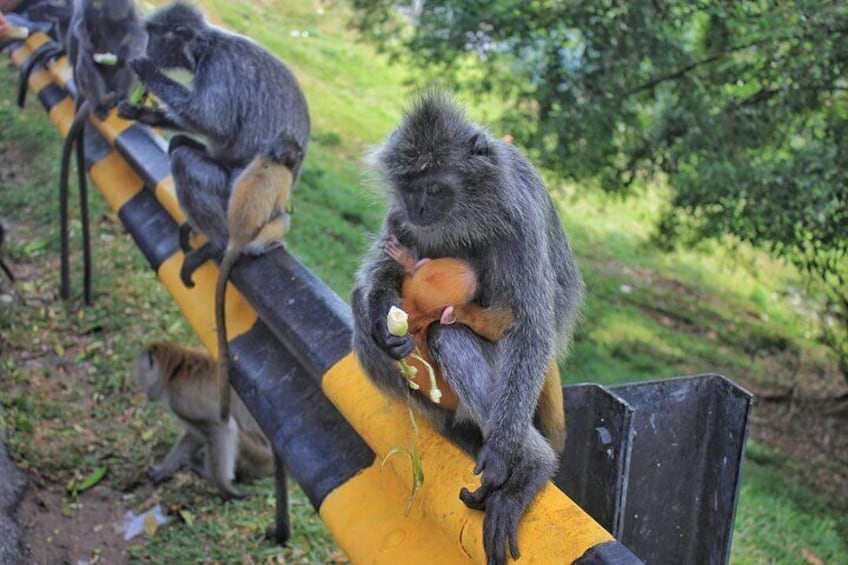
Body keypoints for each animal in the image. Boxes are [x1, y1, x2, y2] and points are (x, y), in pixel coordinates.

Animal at [58, 0, 146, 304]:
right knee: (86, 61)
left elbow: (135, 30)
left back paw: (116, 97)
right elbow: (81, 30)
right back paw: (100, 104)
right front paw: (87, 41)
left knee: (126, 64)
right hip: (86, 84)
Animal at [114, 1, 310, 286]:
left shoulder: (219, 68)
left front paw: (147, 71)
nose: (147, 47)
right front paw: (141, 113)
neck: (205, 47)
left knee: (184, 160)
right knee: (180, 145)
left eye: (152, 34)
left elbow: (215, 123)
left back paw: (219, 244)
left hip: (234, 198)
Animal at [136, 340, 274, 498]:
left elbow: (220, 427)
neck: (176, 370)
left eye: (140, 373)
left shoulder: (181, 397)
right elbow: (195, 435)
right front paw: (164, 469)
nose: (142, 389)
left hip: (257, 455)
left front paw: (227, 489)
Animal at [215, 132, 304, 420]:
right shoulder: (284, 177)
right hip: (259, 234)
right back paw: (265, 247)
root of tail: (236, 238)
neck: (271, 158)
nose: (299, 157)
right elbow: (279, 210)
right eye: (297, 153)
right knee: (281, 219)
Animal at [352, 91, 584, 564]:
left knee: (451, 334)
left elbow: (531, 329)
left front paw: (505, 456)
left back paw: (530, 464)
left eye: (436, 188)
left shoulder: (519, 217)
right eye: (410, 187)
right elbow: (382, 270)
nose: (420, 209)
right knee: (362, 315)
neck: (466, 218)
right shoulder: (403, 220)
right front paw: (385, 317)